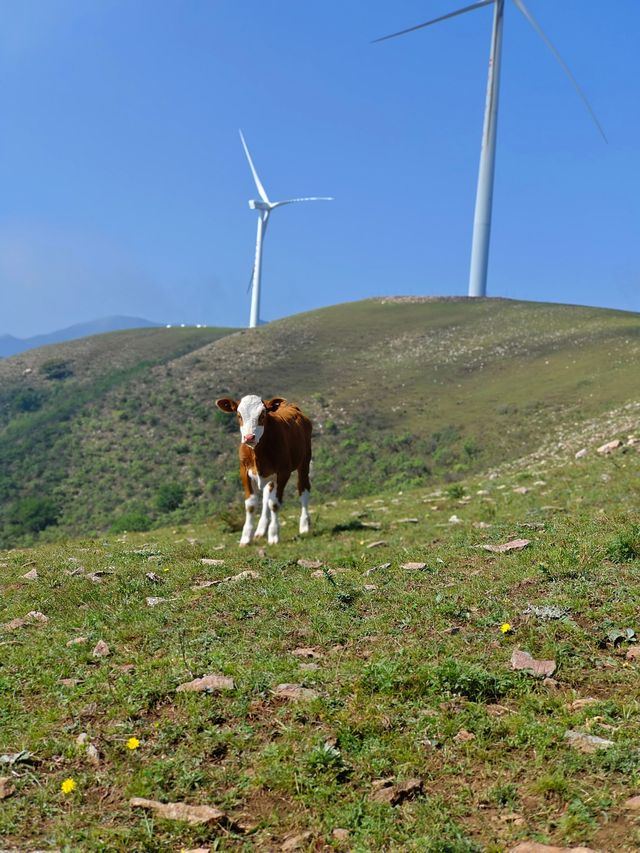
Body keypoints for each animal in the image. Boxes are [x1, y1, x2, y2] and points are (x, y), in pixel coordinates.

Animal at [215, 394, 312, 544]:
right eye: (239, 415)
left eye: (262, 414)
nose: (249, 437)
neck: (258, 453)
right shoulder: (244, 472)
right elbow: (251, 505)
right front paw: (246, 538)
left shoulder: (283, 472)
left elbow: (275, 503)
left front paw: (273, 535)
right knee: (267, 494)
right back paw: (260, 530)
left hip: (304, 461)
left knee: (303, 489)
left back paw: (304, 526)